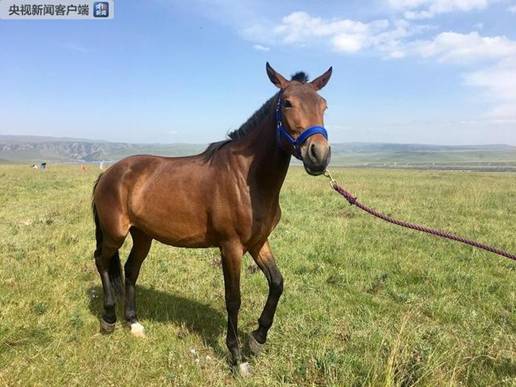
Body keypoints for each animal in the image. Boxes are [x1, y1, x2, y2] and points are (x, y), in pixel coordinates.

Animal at [92, 63, 332, 376]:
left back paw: (133, 323)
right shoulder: (231, 247)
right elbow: (233, 299)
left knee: (131, 270)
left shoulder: (258, 243)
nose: (319, 155)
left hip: (143, 234)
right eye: (288, 102)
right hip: (115, 232)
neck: (246, 178)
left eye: (323, 105)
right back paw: (109, 318)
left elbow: (277, 283)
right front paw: (237, 357)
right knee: (101, 261)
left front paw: (258, 338)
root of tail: (108, 173)